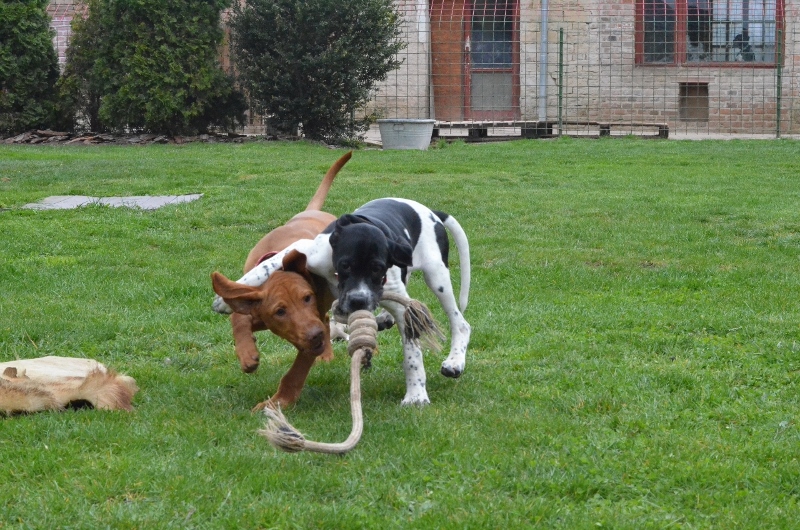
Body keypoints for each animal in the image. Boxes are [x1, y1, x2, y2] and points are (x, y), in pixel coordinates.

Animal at [211, 151, 351, 409]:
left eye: (307, 298)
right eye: (280, 312)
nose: (316, 336)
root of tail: (313, 211)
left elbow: (295, 374)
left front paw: (277, 403)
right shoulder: (252, 302)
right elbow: (237, 316)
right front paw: (246, 353)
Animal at [214, 197, 471, 406]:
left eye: (378, 269)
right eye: (345, 265)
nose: (358, 301)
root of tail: (430, 211)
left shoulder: (399, 305)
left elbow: (412, 354)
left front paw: (416, 394)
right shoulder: (307, 250)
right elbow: (267, 265)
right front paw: (227, 298)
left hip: (437, 276)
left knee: (460, 323)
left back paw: (454, 362)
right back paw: (383, 319)